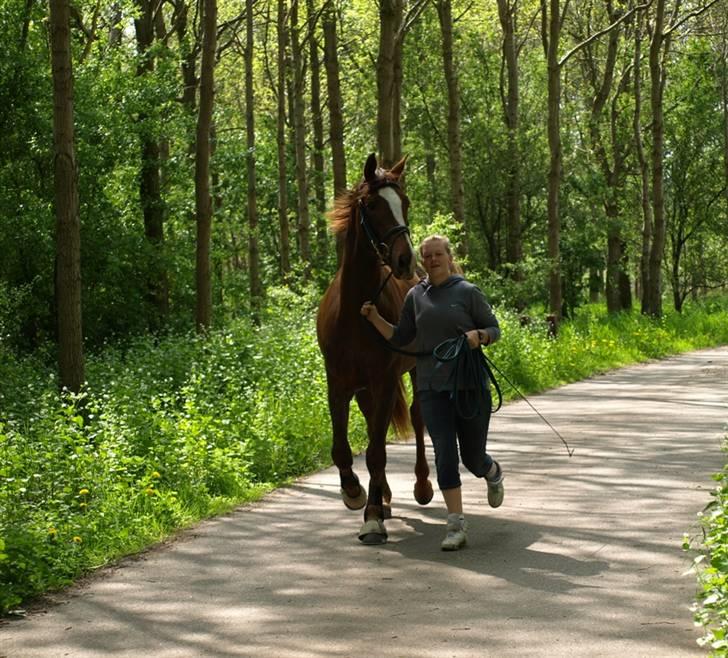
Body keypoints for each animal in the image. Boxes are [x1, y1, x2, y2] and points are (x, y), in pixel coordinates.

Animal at [318, 155, 432, 544]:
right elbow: (342, 448)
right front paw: (355, 492)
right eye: (371, 205)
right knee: (371, 424)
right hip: (365, 388)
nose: (405, 260)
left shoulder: (383, 381)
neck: (354, 310)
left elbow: (377, 452)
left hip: (414, 371)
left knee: (417, 416)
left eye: (405, 203)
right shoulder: (338, 384)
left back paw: (421, 486)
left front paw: (370, 516)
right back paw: (383, 495)